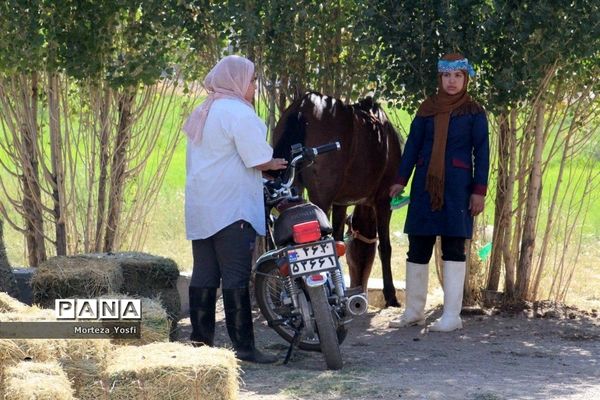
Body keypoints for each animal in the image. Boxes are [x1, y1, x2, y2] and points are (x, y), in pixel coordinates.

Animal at [274, 92, 404, 308]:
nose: (359, 283)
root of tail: (302, 107)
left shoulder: (340, 203)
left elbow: (338, 241)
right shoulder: (384, 201)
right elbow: (385, 247)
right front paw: (390, 295)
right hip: (320, 199)